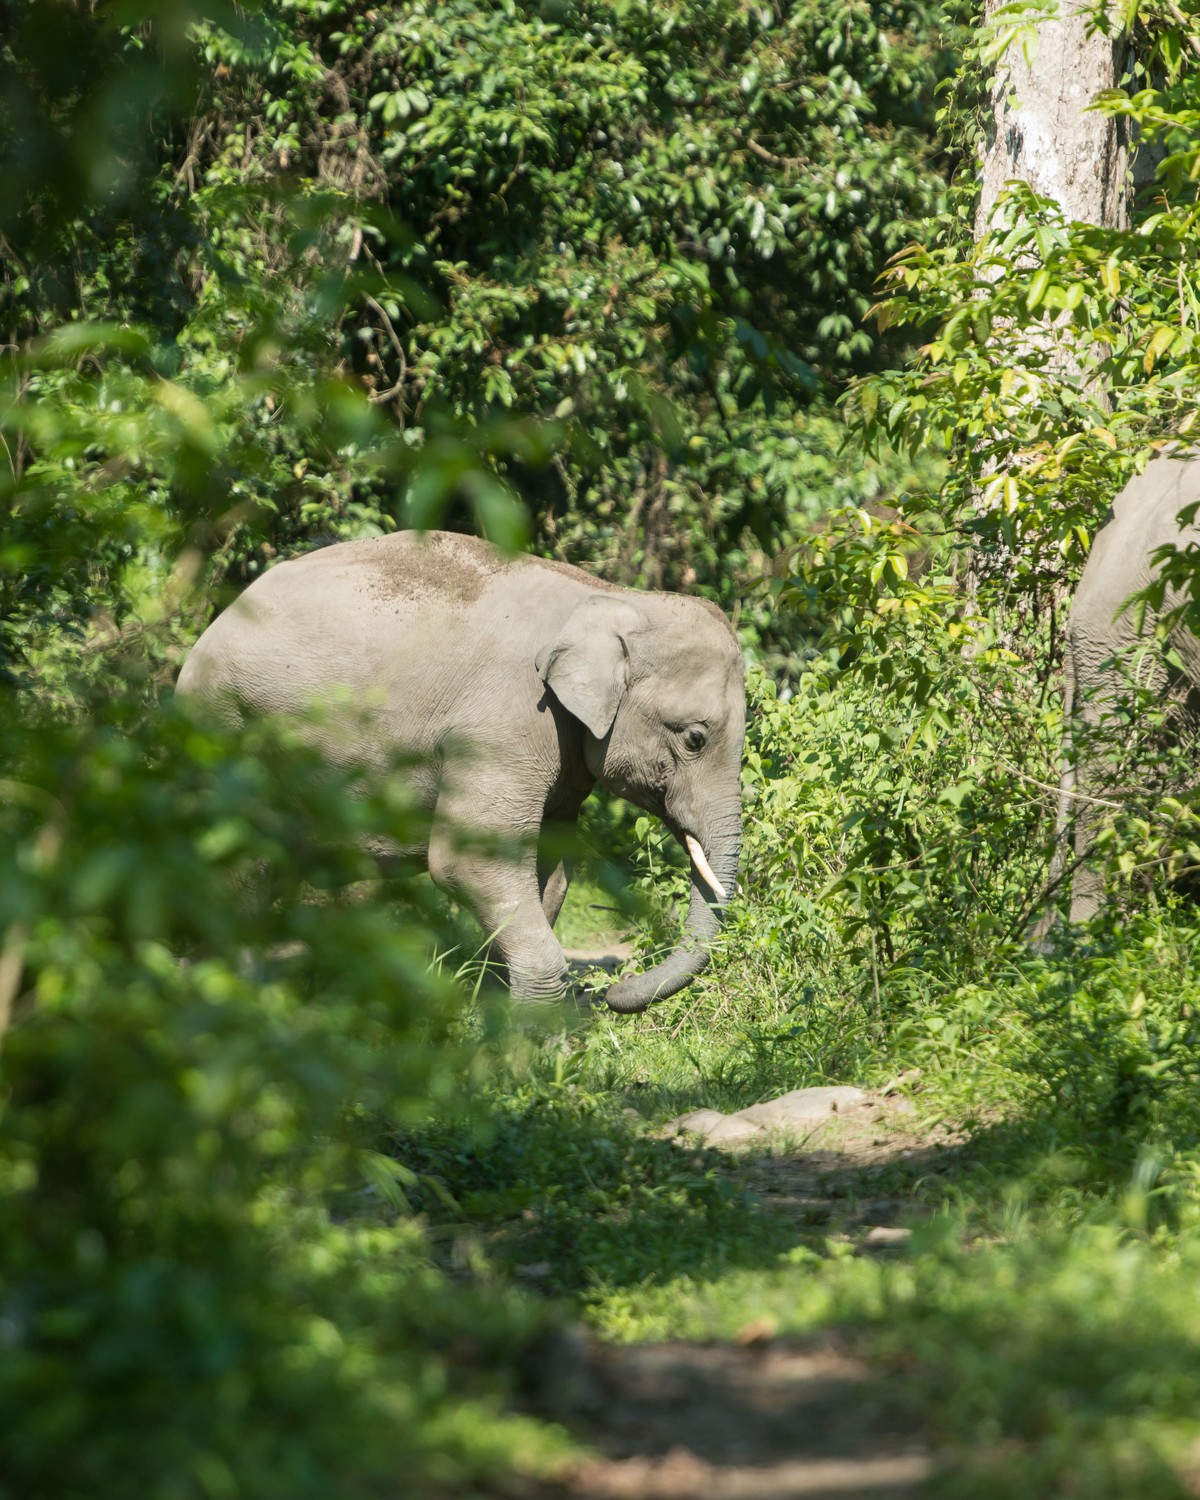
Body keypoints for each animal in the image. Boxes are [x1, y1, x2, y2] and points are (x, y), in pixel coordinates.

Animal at [175, 530, 746, 1011]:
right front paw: (533, 1040)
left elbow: (551, 873)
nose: (612, 991)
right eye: (694, 738)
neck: (609, 596)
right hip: (224, 729)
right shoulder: (505, 721)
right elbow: (467, 861)